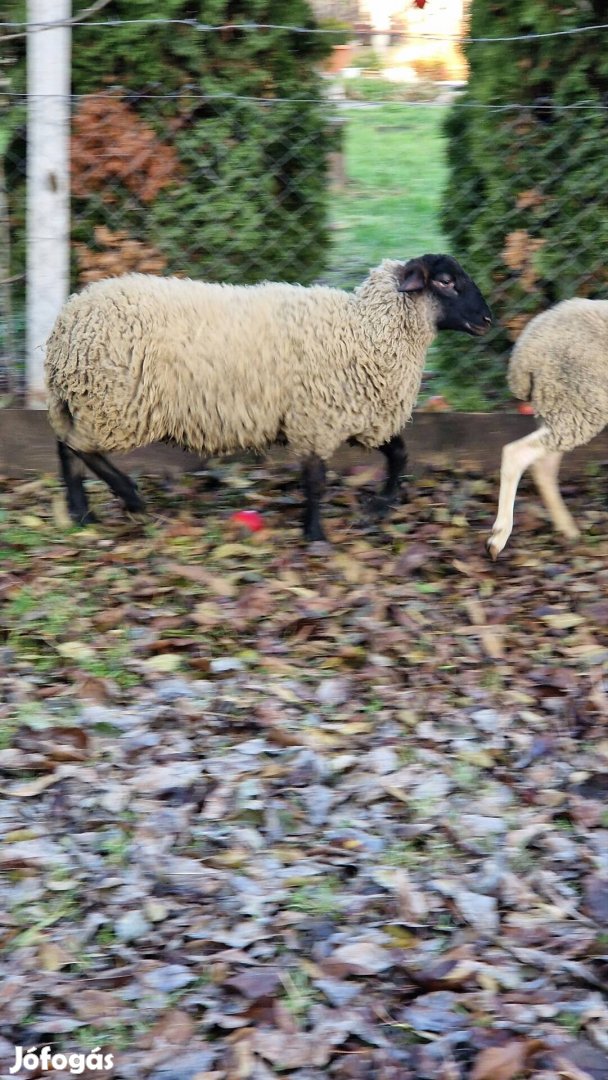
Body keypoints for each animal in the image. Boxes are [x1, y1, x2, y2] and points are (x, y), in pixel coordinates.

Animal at [45, 252, 492, 540]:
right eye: (446, 281)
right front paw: (315, 534)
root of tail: (67, 322)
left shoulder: (362, 415)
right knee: (79, 447)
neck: (366, 330)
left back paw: (81, 513)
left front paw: (379, 507)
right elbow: (316, 480)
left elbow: (399, 455)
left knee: (66, 446)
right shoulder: (317, 419)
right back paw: (130, 498)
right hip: (116, 406)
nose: (488, 319)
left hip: (87, 402)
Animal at [488, 300, 608, 561]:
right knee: (516, 453)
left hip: (560, 405)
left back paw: (568, 530)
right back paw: (498, 537)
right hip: (578, 403)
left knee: (543, 466)